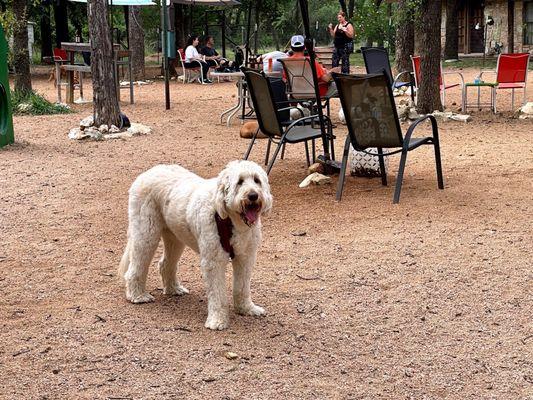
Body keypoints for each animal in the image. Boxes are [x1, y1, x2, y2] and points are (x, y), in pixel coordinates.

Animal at [118, 161, 272, 330]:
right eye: (240, 182)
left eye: (257, 180)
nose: (253, 196)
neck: (231, 221)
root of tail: (147, 173)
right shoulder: (213, 262)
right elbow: (217, 293)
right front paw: (217, 320)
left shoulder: (245, 258)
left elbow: (242, 287)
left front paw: (246, 308)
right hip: (145, 234)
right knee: (135, 267)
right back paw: (137, 295)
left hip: (175, 238)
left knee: (165, 264)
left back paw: (174, 289)